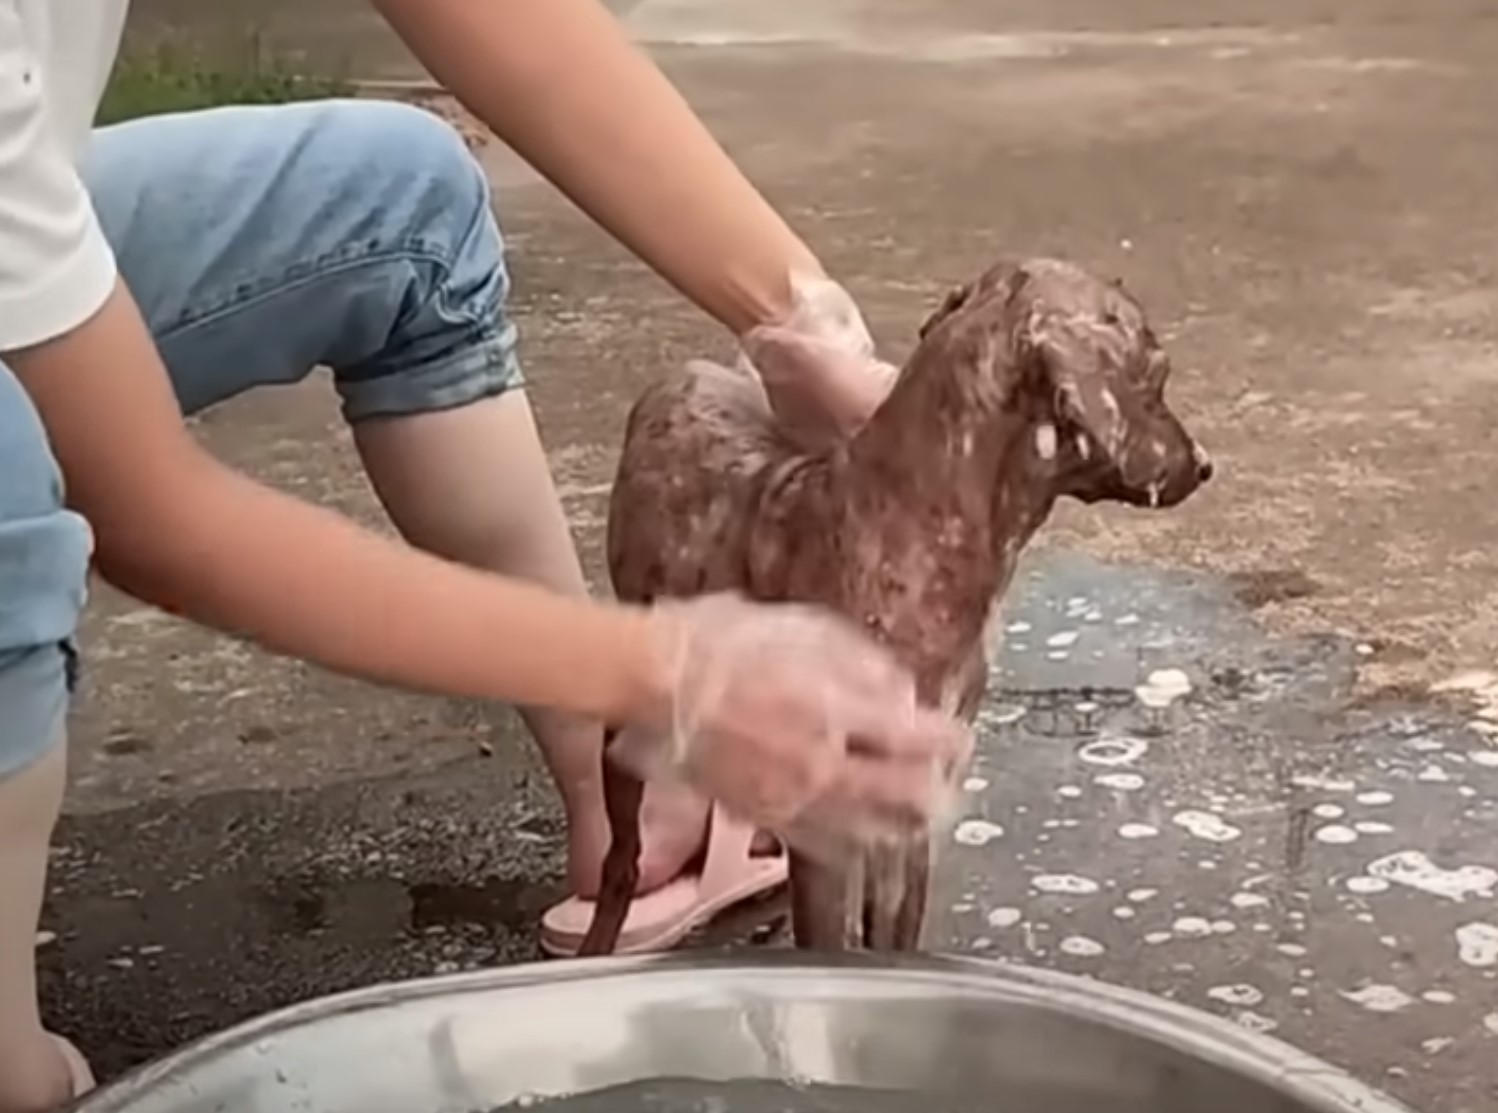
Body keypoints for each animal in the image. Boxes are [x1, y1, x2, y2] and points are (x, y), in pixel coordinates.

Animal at [578, 256, 1210, 952]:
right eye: (1158, 374)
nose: (1206, 464)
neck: (912, 524)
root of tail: (690, 372)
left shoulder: (910, 809)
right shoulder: (831, 835)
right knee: (621, 861)